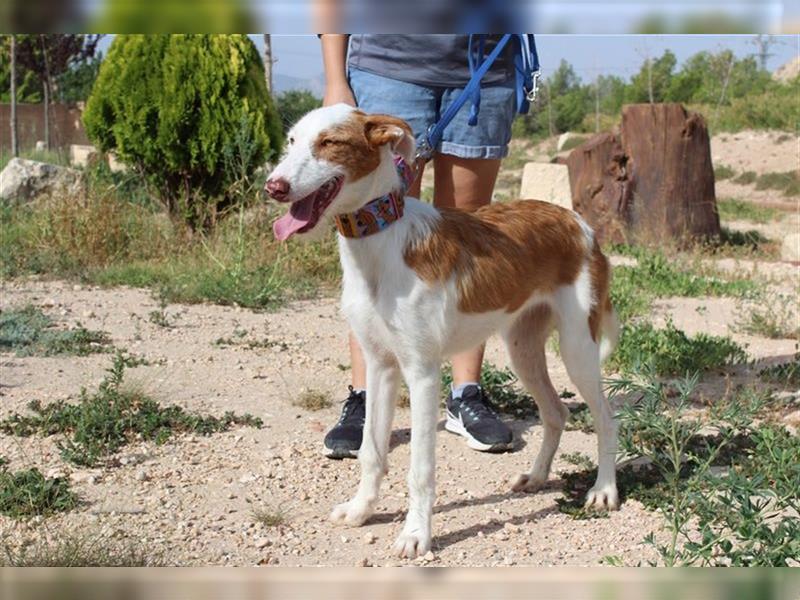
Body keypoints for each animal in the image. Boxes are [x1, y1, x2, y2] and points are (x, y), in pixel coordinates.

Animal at [266, 103, 620, 556]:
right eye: (291, 141)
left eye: (329, 142)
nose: (273, 186)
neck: (380, 242)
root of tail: (580, 223)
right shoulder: (380, 365)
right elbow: (371, 451)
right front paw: (362, 509)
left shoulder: (422, 373)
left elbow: (420, 468)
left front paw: (416, 534)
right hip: (522, 349)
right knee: (556, 413)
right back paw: (537, 476)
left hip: (577, 349)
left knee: (606, 419)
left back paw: (604, 491)